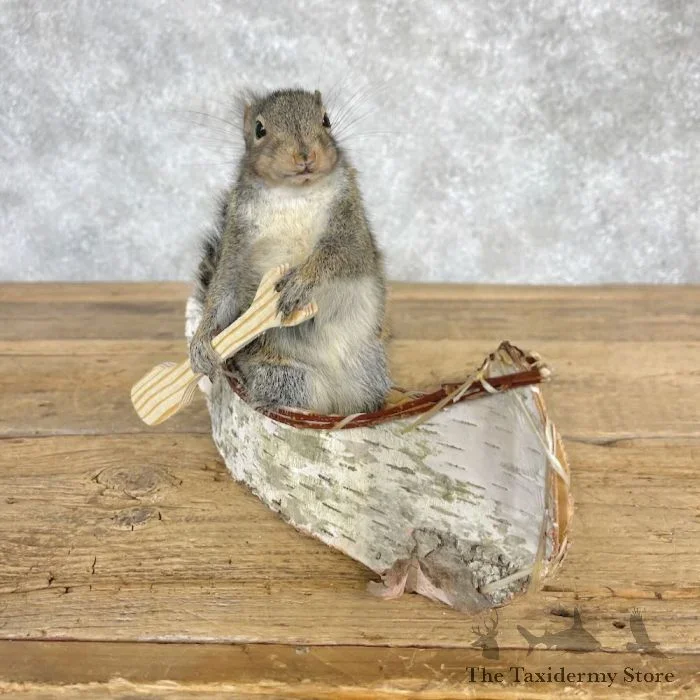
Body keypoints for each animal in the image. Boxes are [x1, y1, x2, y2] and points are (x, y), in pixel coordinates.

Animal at [189, 88, 390, 415]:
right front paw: (202, 341)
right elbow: (223, 291)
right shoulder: (237, 239)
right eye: (259, 129)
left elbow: (341, 255)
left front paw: (301, 282)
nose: (305, 155)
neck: (294, 194)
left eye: (326, 119)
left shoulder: (352, 226)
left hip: (369, 371)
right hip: (285, 377)